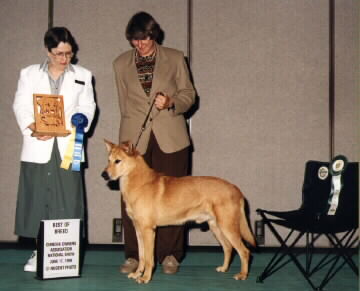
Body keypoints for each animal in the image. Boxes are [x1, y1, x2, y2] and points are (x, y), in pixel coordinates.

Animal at [101, 140, 256, 284]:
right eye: (108, 160)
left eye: (118, 161)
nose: (104, 175)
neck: (139, 182)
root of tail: (236, 189)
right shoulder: (138, 229)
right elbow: (142, 256)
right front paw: (137, 274)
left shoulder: (148, 230)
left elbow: (149, 259)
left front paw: (145, 278)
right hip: (216, 227)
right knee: (228, 248)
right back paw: (224, 268)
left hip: (228, 226)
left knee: (244, 251)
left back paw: (242, 275)